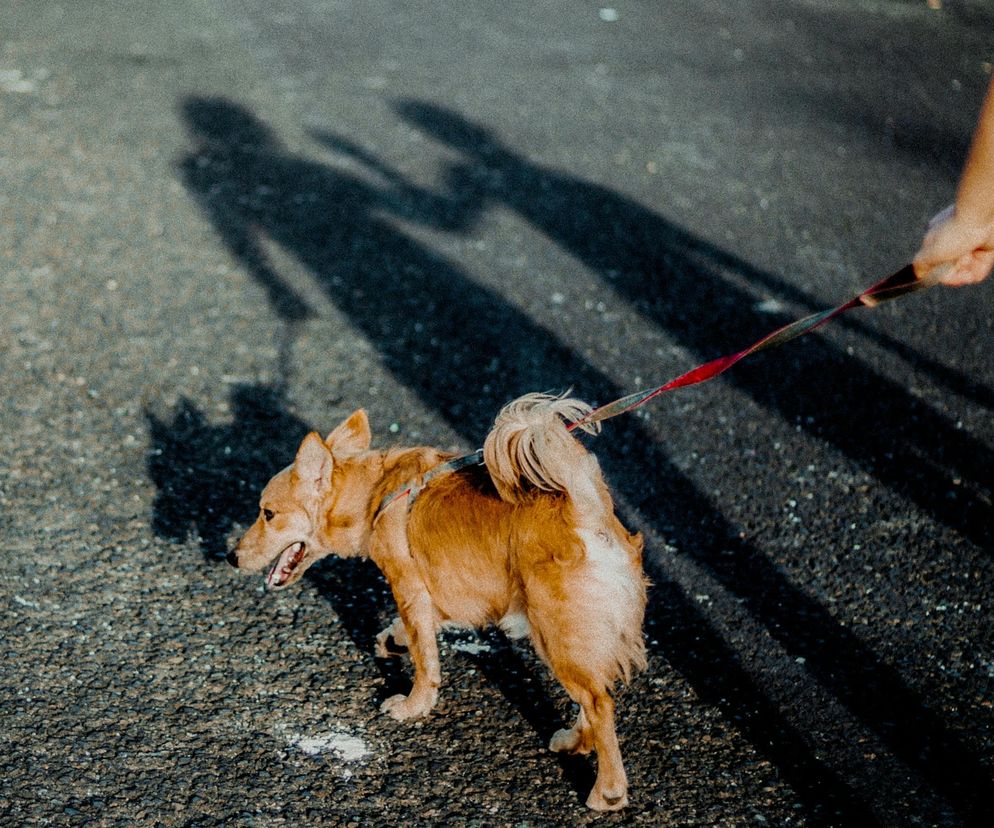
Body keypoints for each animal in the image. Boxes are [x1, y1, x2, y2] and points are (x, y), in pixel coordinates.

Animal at [229, 392, 648, 808]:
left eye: (268, 514)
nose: (231, 556)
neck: (375, 495)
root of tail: (585, 508)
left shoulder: (408, 587)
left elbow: (424, 658)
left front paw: (413, 705)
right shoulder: (441, 591)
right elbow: (419, 629)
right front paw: (393, 640)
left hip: (554, 634)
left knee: (599, 703)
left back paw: (608, 790)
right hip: (572, 636)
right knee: (595, 694)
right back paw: (576, 741)